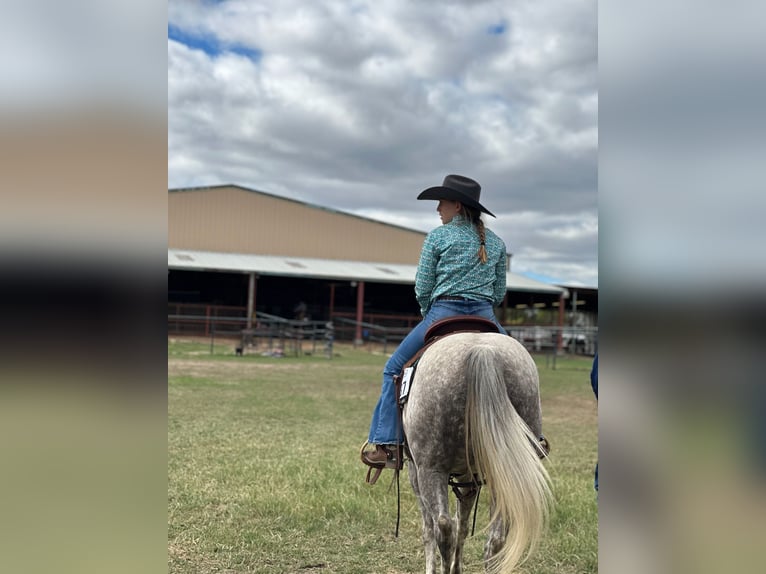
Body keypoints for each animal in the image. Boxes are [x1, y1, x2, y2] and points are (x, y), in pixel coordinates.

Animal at [402, 332, 552, 574]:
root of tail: (484, 352)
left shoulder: (415, 470)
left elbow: (430, 528)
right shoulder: (467, 477)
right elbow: (463, 522)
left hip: (430, 470)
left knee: (442, 527)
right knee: (495, 540)